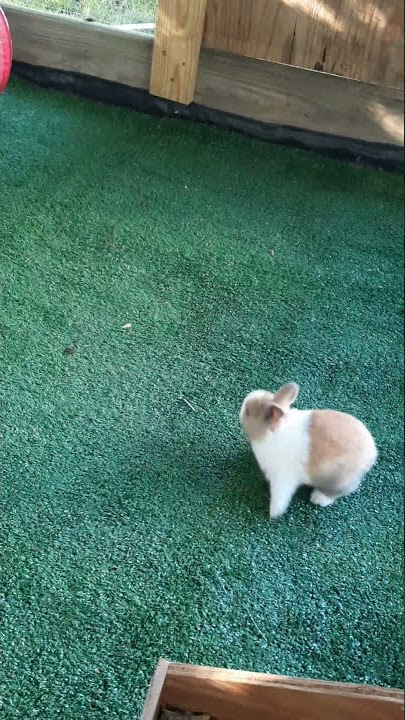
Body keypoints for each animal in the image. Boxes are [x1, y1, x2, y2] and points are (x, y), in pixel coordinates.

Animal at [240, 382, 377, 519]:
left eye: (248, 412)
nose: (241, 411)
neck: (272, 433)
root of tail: (372, 455)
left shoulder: (282, 478)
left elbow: (279, 498)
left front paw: (273, 514)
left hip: (337, 480)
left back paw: (318, 498)